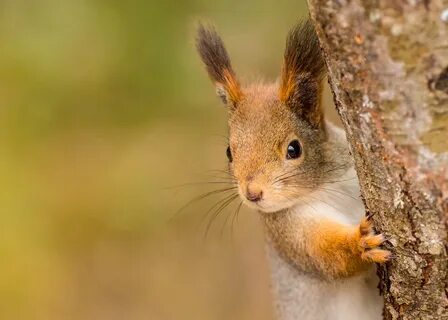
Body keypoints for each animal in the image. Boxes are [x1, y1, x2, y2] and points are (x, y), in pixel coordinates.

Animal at [194, 18, 390, 318]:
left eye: (294, 149)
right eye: (229, 152)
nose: (253, 194)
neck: (324, 185)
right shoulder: (289, 234)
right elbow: (326, 257)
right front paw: (361, 244)